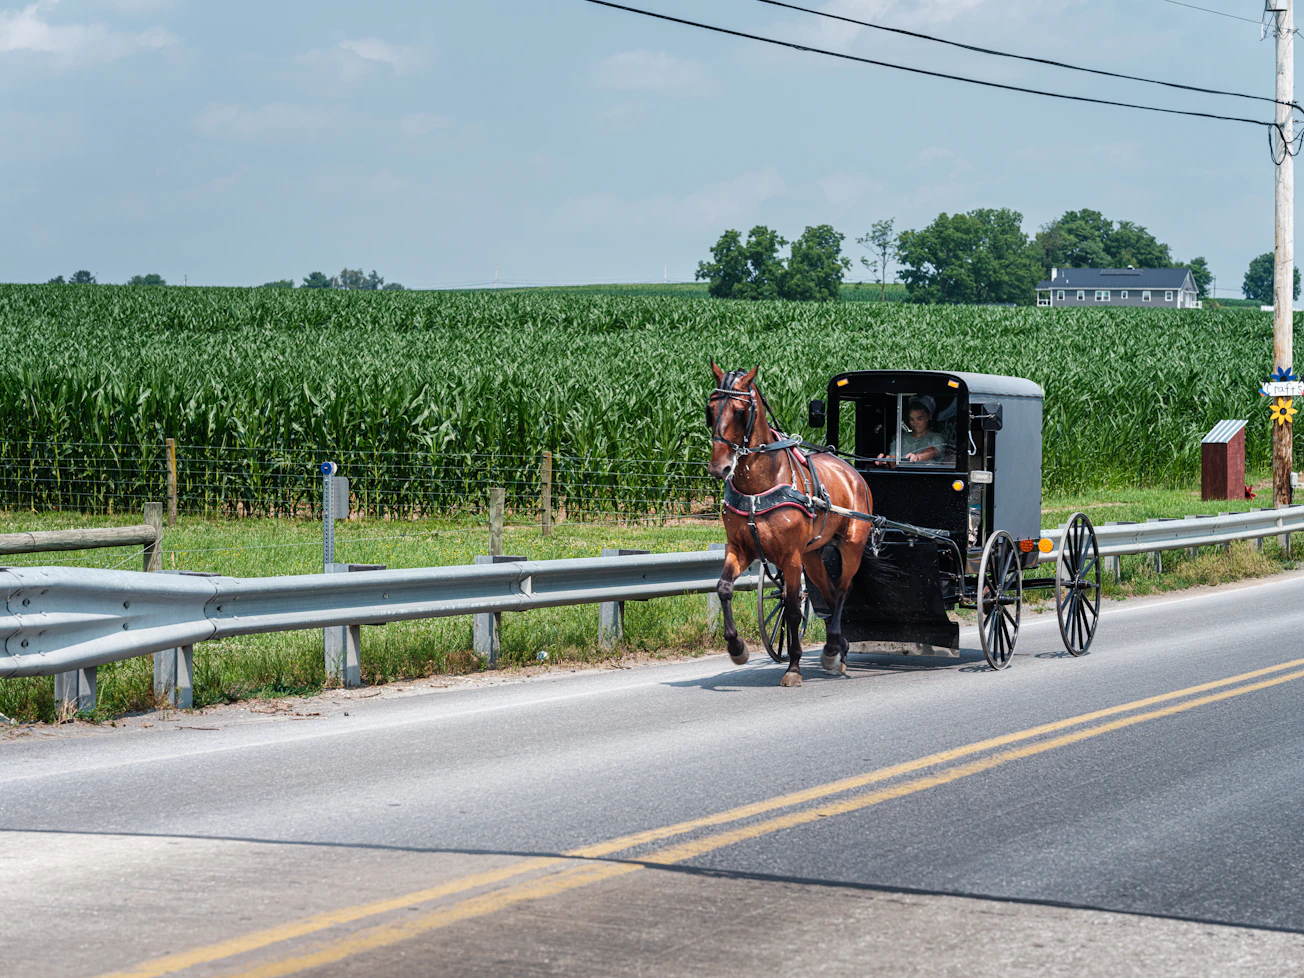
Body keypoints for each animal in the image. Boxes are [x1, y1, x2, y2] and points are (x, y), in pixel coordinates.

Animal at [704, 362, 876, 688]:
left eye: (740, 411)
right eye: (710, 409)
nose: (719, 468)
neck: (758, 487)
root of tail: (851, 471)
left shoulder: (791, 557)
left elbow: (794, 609)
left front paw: (794, 667)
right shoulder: (739, 548)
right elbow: (723, 588)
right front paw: (737, 647)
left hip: (851, 546)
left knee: (842, 591)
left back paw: (832, 649)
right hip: (813, 556)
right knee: (830, 594)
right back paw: (839, 648)